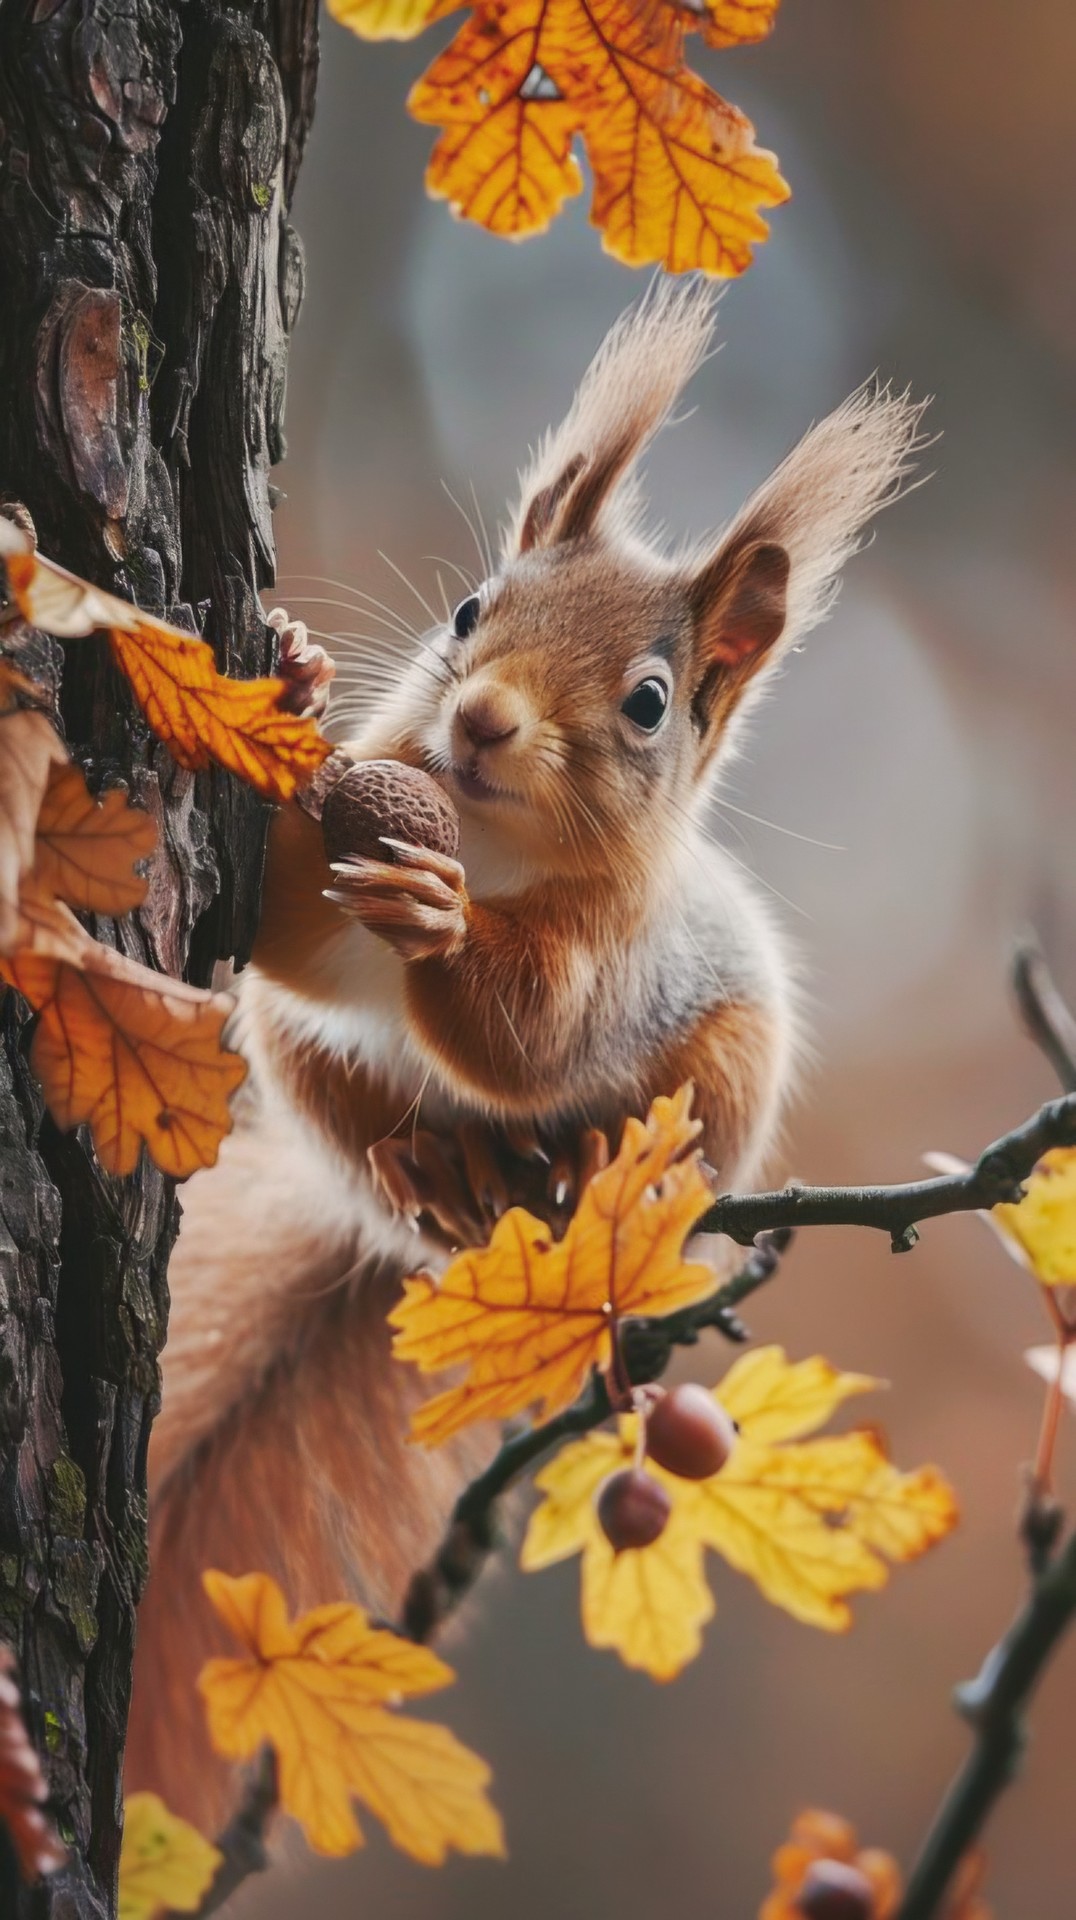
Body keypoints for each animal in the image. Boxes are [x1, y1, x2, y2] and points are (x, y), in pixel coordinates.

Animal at [126, 282, 923, 1829]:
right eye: (468, 610)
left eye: (651, 702)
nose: (483, 717)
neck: (485, 843)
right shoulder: (324, 909)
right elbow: (290, 931)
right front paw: (297, 677)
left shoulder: (604, 962)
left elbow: (526, 1038)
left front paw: (443, 930)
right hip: (305, 1072)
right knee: (379, 1126)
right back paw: (429, 1165)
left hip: (719, 1083)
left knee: (605, 1136)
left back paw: (580, 1163)